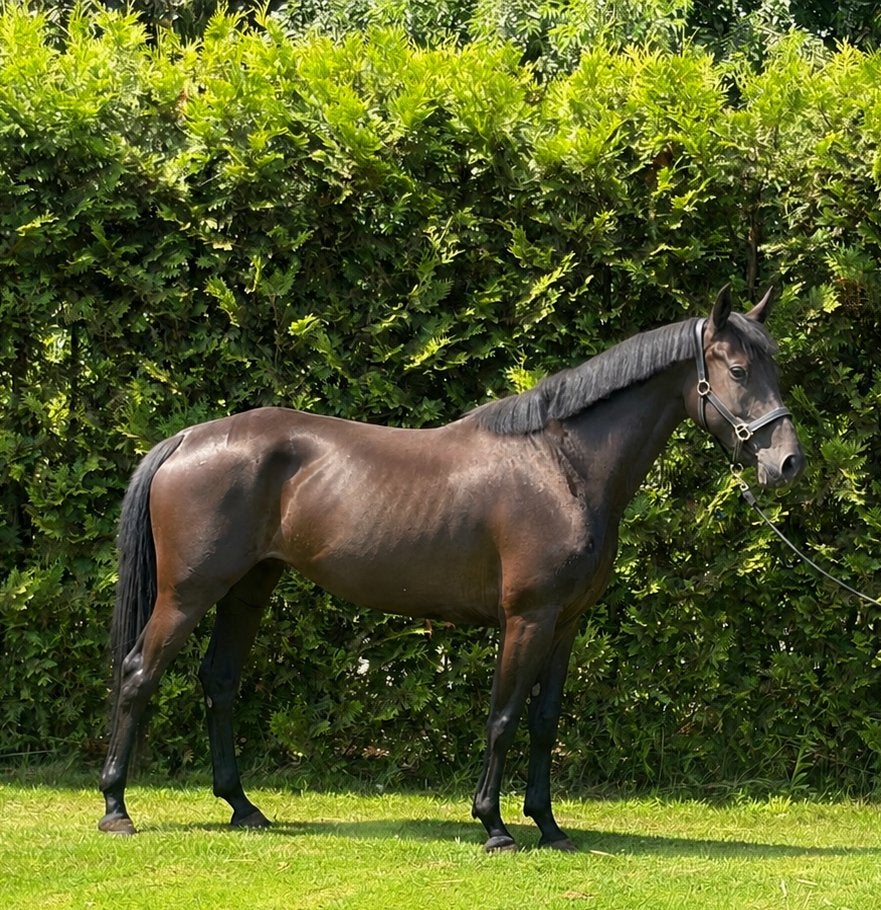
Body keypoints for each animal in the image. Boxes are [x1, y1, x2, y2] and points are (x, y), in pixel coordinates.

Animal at [98, 285, 804, 851]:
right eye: (738, 369)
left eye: (775, 367)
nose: (788, 463)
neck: (562, 465)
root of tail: (186, 440)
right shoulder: (527, 618)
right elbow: (504, 715)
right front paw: (493, 825)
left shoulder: (566, 624)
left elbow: (544, 721)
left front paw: (549, 826)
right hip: (188, 594)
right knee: (138, 676)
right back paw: (116, 809)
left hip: (247, 590)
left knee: (218, 682)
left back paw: (243, 808)